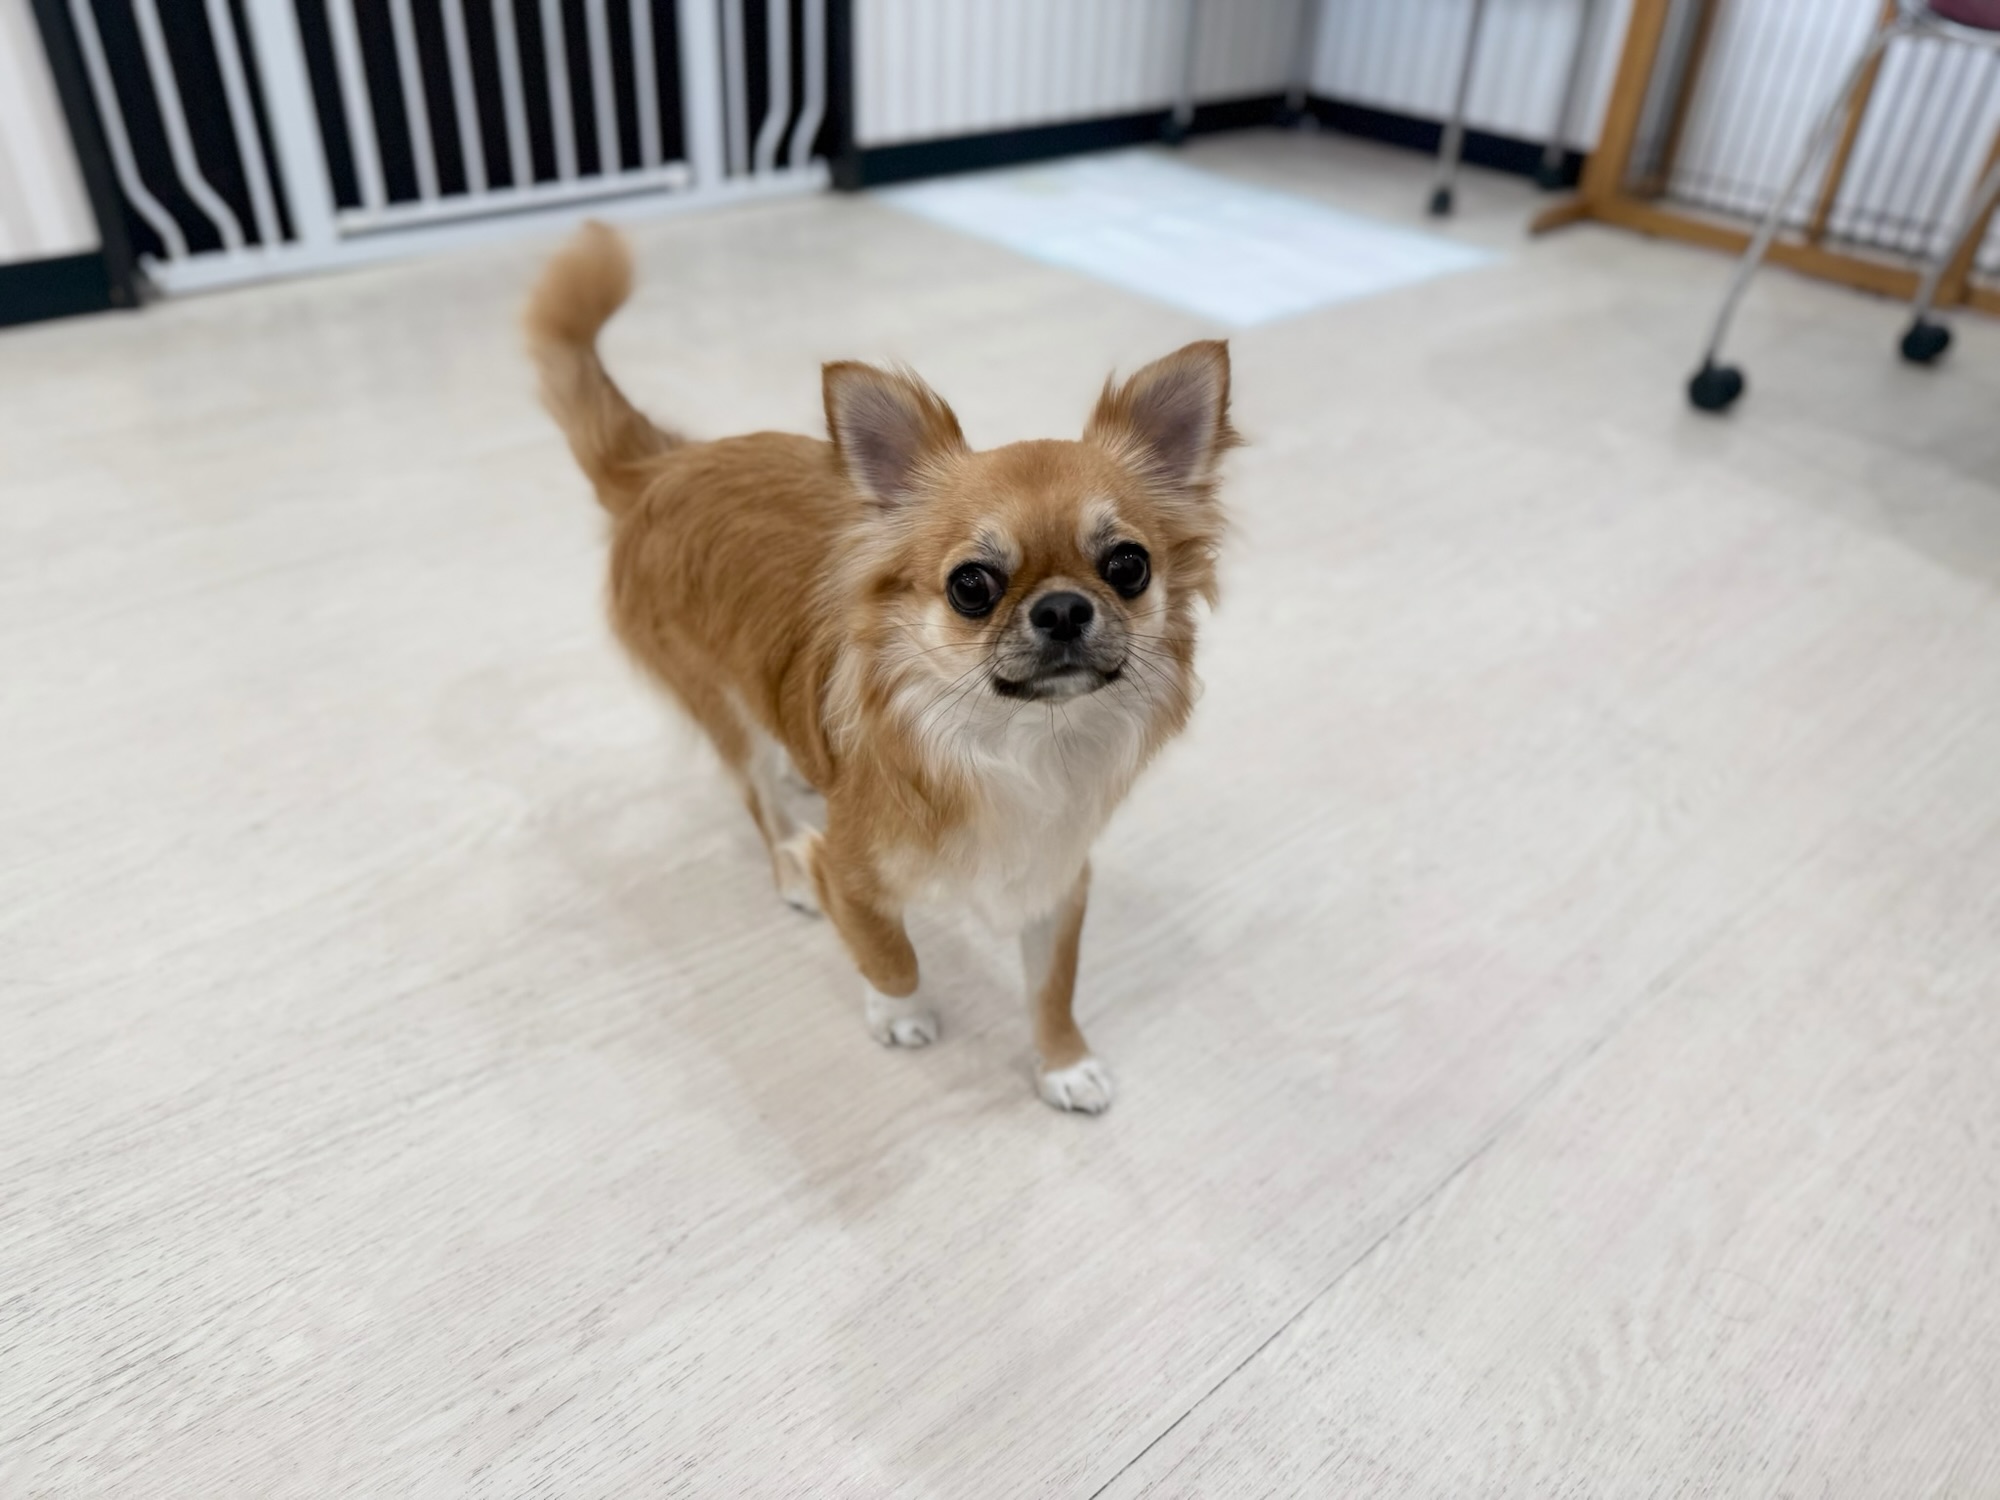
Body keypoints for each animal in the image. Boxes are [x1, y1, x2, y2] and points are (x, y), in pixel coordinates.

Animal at [525, 223, 1234, 1113]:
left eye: (1128, 566)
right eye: (972, 586)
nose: (1066, 608)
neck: (1016, 739)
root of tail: (663, 466)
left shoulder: (1056, 878)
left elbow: (1053, 986)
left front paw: (1063, 1063)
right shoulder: (858, 870)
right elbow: (889, 950)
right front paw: (899, 1014)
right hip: (718, 703)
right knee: (755, 792)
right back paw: (789, 861)